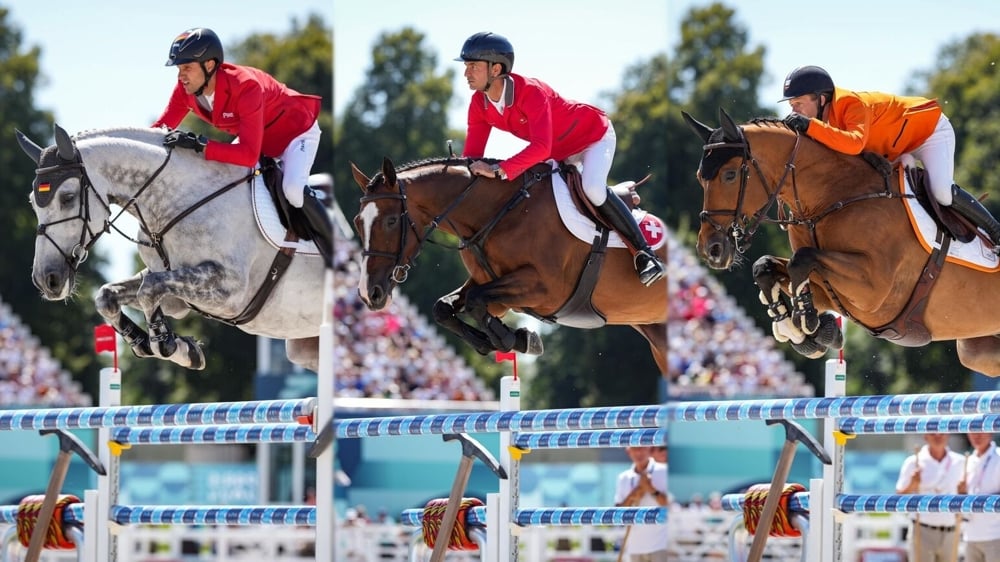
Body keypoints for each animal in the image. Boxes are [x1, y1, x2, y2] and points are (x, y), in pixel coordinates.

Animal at [15, 126, 324, 372]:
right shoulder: (175, 294)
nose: (46, 280)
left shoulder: (231, 291)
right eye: (32, 201)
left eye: (67, 198)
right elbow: (109, 295)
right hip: (306, 348)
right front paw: (150, 342)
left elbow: (148, 289)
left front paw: (170, 346)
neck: (182, 200)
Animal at [348, 154, 668, 372]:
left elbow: (475, 302)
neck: (499, 212)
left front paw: (518, 339)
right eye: (357, 222)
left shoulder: (545, 290)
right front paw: (507, 340)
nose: (368, 293)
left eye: (391, 221)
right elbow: (444, 308)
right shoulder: (497, 292)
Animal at [684, 107, 1000, 374]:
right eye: (699, 177)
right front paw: (803, 331)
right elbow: (766, 267)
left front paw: (809, 324)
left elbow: (802, 260)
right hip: (978, 351)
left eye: (729, 175)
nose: (710, 249)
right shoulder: (833, 291)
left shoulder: (873, 289)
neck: (830, 199)